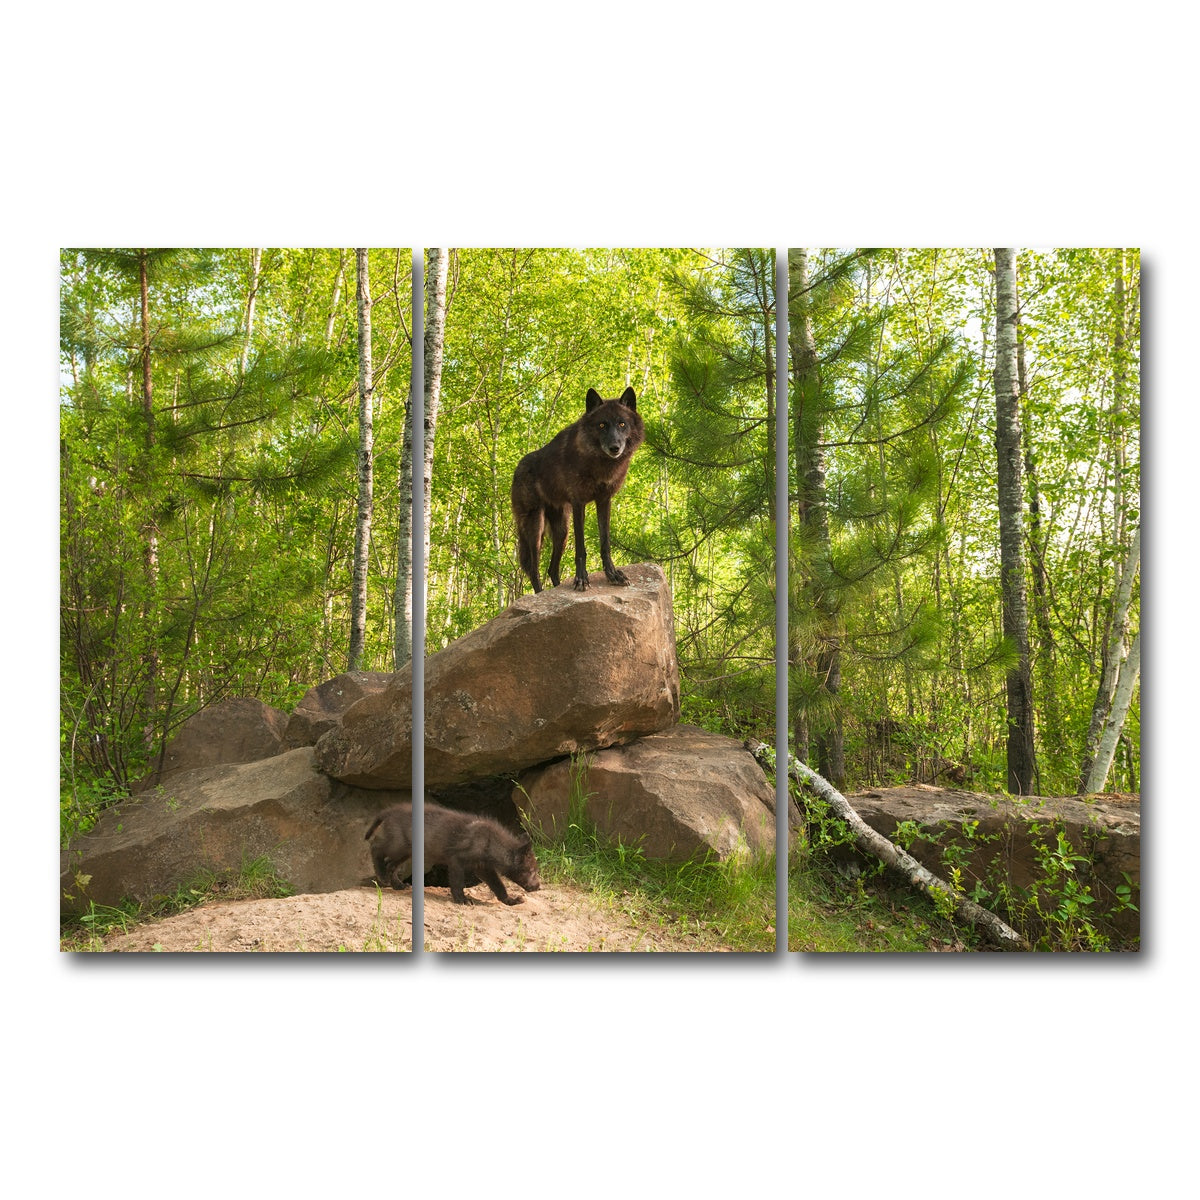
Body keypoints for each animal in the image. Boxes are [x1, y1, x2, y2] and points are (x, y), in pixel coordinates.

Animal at [364, 801, 542, 906]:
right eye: (532, 871)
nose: (538, 887)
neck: (489, 842)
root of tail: (391, 810)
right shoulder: (457, 860)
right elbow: (457, 883)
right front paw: (461, 900)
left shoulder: (483, 868)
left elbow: (499, 886)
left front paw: (510, 900)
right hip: (398, 845)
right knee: (376, 847)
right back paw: (382, 876)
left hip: (406, 851)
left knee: (391, 864)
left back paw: (397, 885)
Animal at [511, 386, 645, 593]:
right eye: (602, 425)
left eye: (622, 424)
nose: (614, 447)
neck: (600, 464)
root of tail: (517, 468)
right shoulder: (578, 503)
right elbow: (581, 548)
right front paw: (581, 579)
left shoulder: (604, 501)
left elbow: (605, 544)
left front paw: (612, 575)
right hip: (535, 527)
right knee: (534, 569)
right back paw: (540, 594)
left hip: (562, 531)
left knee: (552, 569)